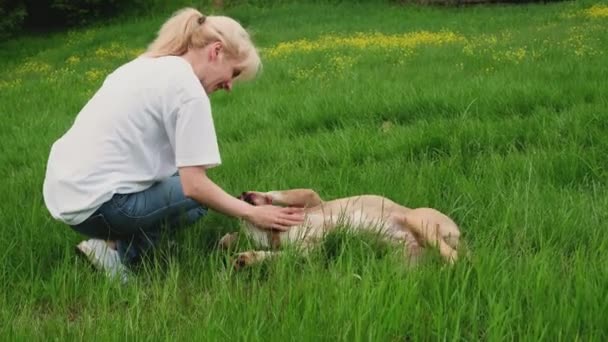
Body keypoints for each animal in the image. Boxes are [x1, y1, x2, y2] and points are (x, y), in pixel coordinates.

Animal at [221, 188, 464, 268]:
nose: (241, 196)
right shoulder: (308, 251)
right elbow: (277, 255)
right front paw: (246, 258)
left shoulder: (312, 199)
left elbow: (281, 193)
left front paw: (257, 196)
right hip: (403, 261)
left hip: (418, 221)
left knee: (456, 257)